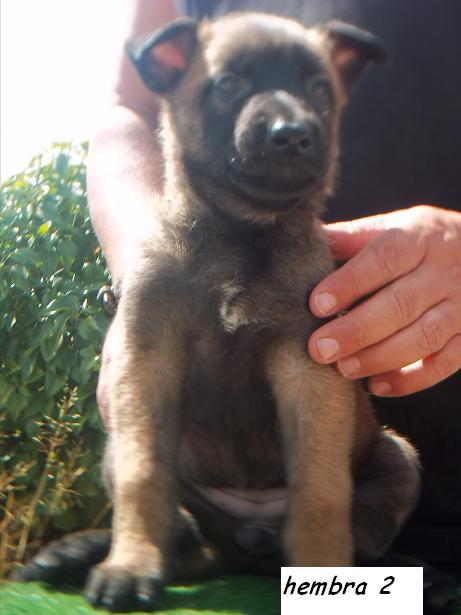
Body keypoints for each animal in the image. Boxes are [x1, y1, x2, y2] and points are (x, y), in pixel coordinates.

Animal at [19, 12, 418, 612]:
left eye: (319, 89)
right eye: (228, 84)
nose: (293, 134)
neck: (240, 235)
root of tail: (245, 540)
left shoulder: (309, 373)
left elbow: (321, 491)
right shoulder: (145, 365)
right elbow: (142, 478)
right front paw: (130, 565)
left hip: (398, 457)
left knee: (359, 537)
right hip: (124, 452)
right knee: (187, 540)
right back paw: (79, 554)